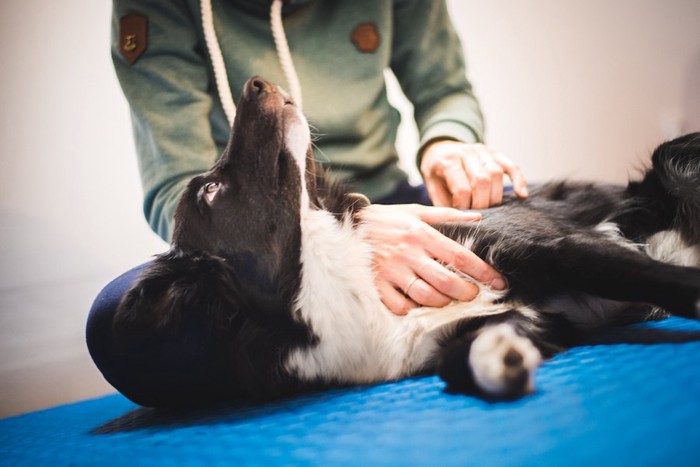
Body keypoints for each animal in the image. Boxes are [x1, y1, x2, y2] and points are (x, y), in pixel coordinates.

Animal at [115, 77, 700, 402]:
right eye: (211, 191)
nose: (255, 82)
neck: (330, 275)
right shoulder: (503, 321)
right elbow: (464, 358)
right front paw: (502, 364)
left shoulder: (547, 246)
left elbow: (653, 277)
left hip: (670, 161)